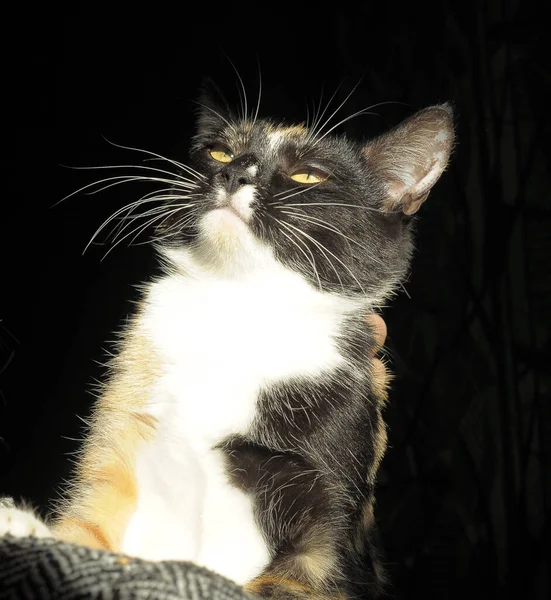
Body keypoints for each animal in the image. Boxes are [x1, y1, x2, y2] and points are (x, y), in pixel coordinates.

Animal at [0, 85, 454, 600]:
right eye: (218, 151)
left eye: (308, 174)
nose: (234, 172)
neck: (237, 315)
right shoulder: (123, 432)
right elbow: (88, 530)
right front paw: (25, 527)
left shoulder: (332, 519)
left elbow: (294, 580)